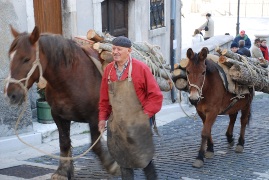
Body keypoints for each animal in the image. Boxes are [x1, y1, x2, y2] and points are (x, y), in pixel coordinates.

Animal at [4, 26, 119, 179]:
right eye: (10, 57)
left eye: (26, 59)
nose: (11, 94)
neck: (73, 79)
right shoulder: (58, 116)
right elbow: (64, 142)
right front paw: (63, 171)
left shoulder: (95, 117)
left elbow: (95, 145)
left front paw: (111, 164)